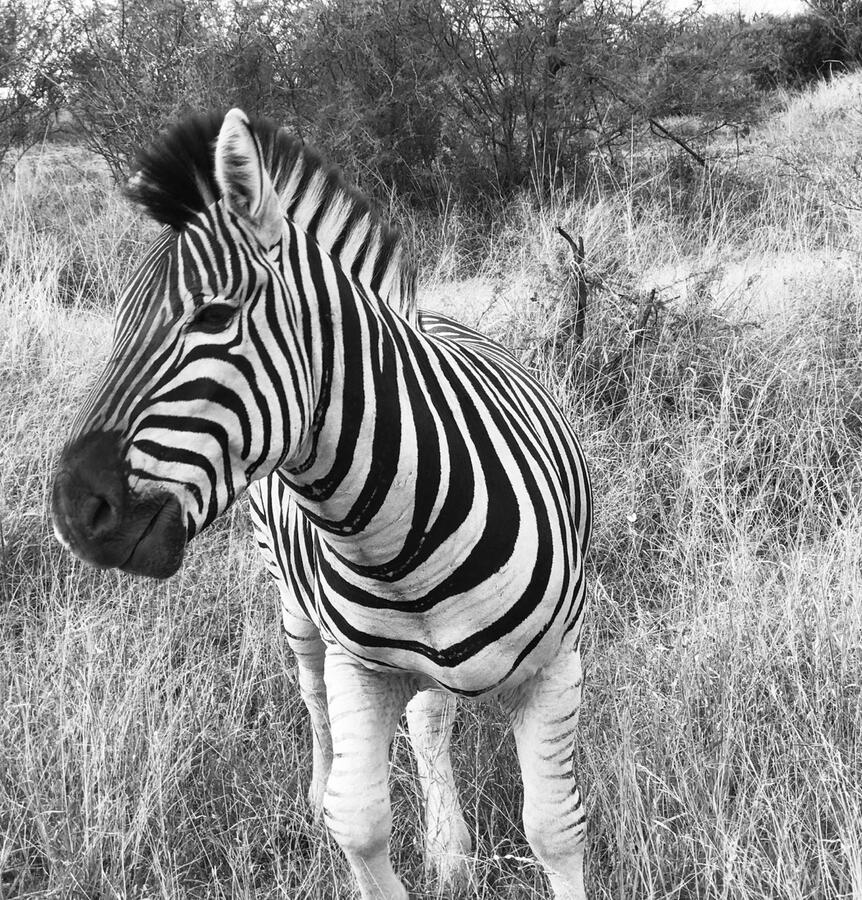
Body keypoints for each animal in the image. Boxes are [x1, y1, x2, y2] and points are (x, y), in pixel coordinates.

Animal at [52, 109, 593, 900]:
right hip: (292, 602)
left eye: (214, 317)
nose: (70, 510)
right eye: (116, 322)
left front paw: (456, 849)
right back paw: (331, 793)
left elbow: (555, 828)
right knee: (314, 696)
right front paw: (352, 819)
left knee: (430, 715)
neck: (404, 539)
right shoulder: (357, 670)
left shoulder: (556, 668)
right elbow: (358, 821)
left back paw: (449, 848)